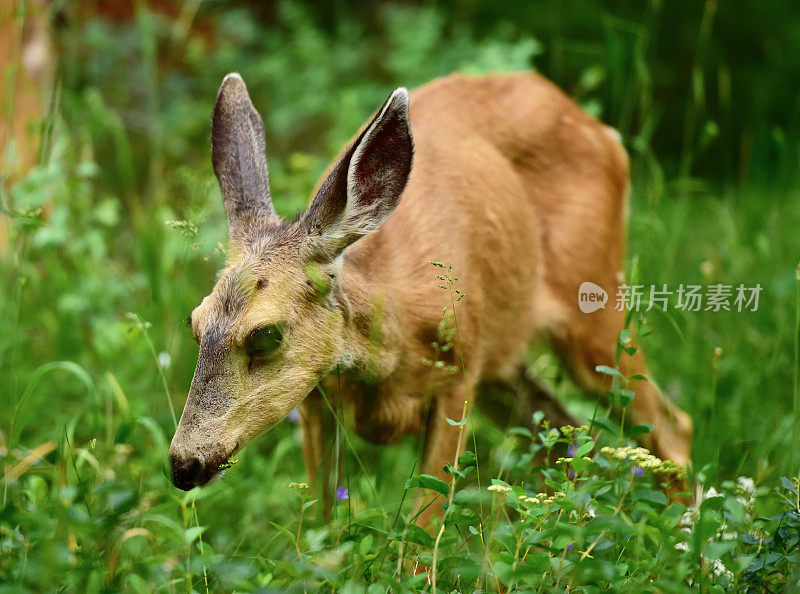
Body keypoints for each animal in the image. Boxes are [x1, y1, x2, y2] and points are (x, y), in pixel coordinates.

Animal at [170, 70, 692, 524]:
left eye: (266, 335)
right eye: (195, 324)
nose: (182, 465)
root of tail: (604, 131)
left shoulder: (456, 376)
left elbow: (422, 534)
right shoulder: (317, 400)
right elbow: (320, 527)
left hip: (595, 306)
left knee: (670, 426)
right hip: (503, 359)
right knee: (564, 437)